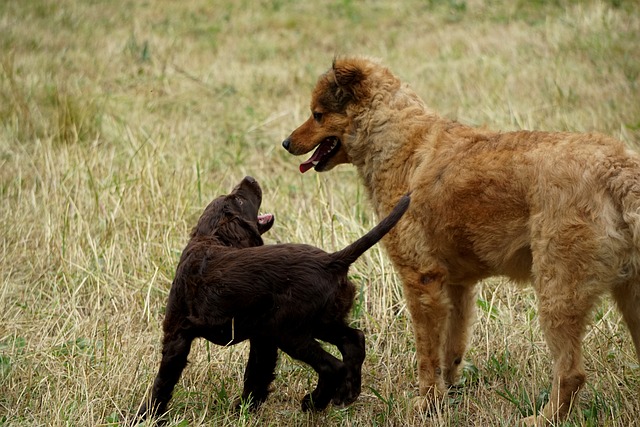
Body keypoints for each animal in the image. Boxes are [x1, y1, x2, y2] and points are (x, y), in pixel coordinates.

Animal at [138, 176, 412, 420]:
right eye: (239, 199)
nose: (250, 177)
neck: (209, 239)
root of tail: (331, 260)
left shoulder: (177, 333)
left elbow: (164, 380)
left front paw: (147, 415)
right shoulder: (262, 336)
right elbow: (257, 374)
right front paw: (245, 410)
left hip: (288, 330)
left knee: (332, 365)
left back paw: (314, 402)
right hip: (319, 321)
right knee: (354, 340)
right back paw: (347, 393)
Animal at [282, 56, 640, 424]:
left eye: (317, 114)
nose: (286, 143)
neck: (400, 143)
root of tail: (619, 170)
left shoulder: (421, 281)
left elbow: (427, 355)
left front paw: (427, 403)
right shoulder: (456, 286)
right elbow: (450, 349)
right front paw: (449, 392)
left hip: (558, 295)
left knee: (571, 374)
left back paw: (542, 418)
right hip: (629, 299)